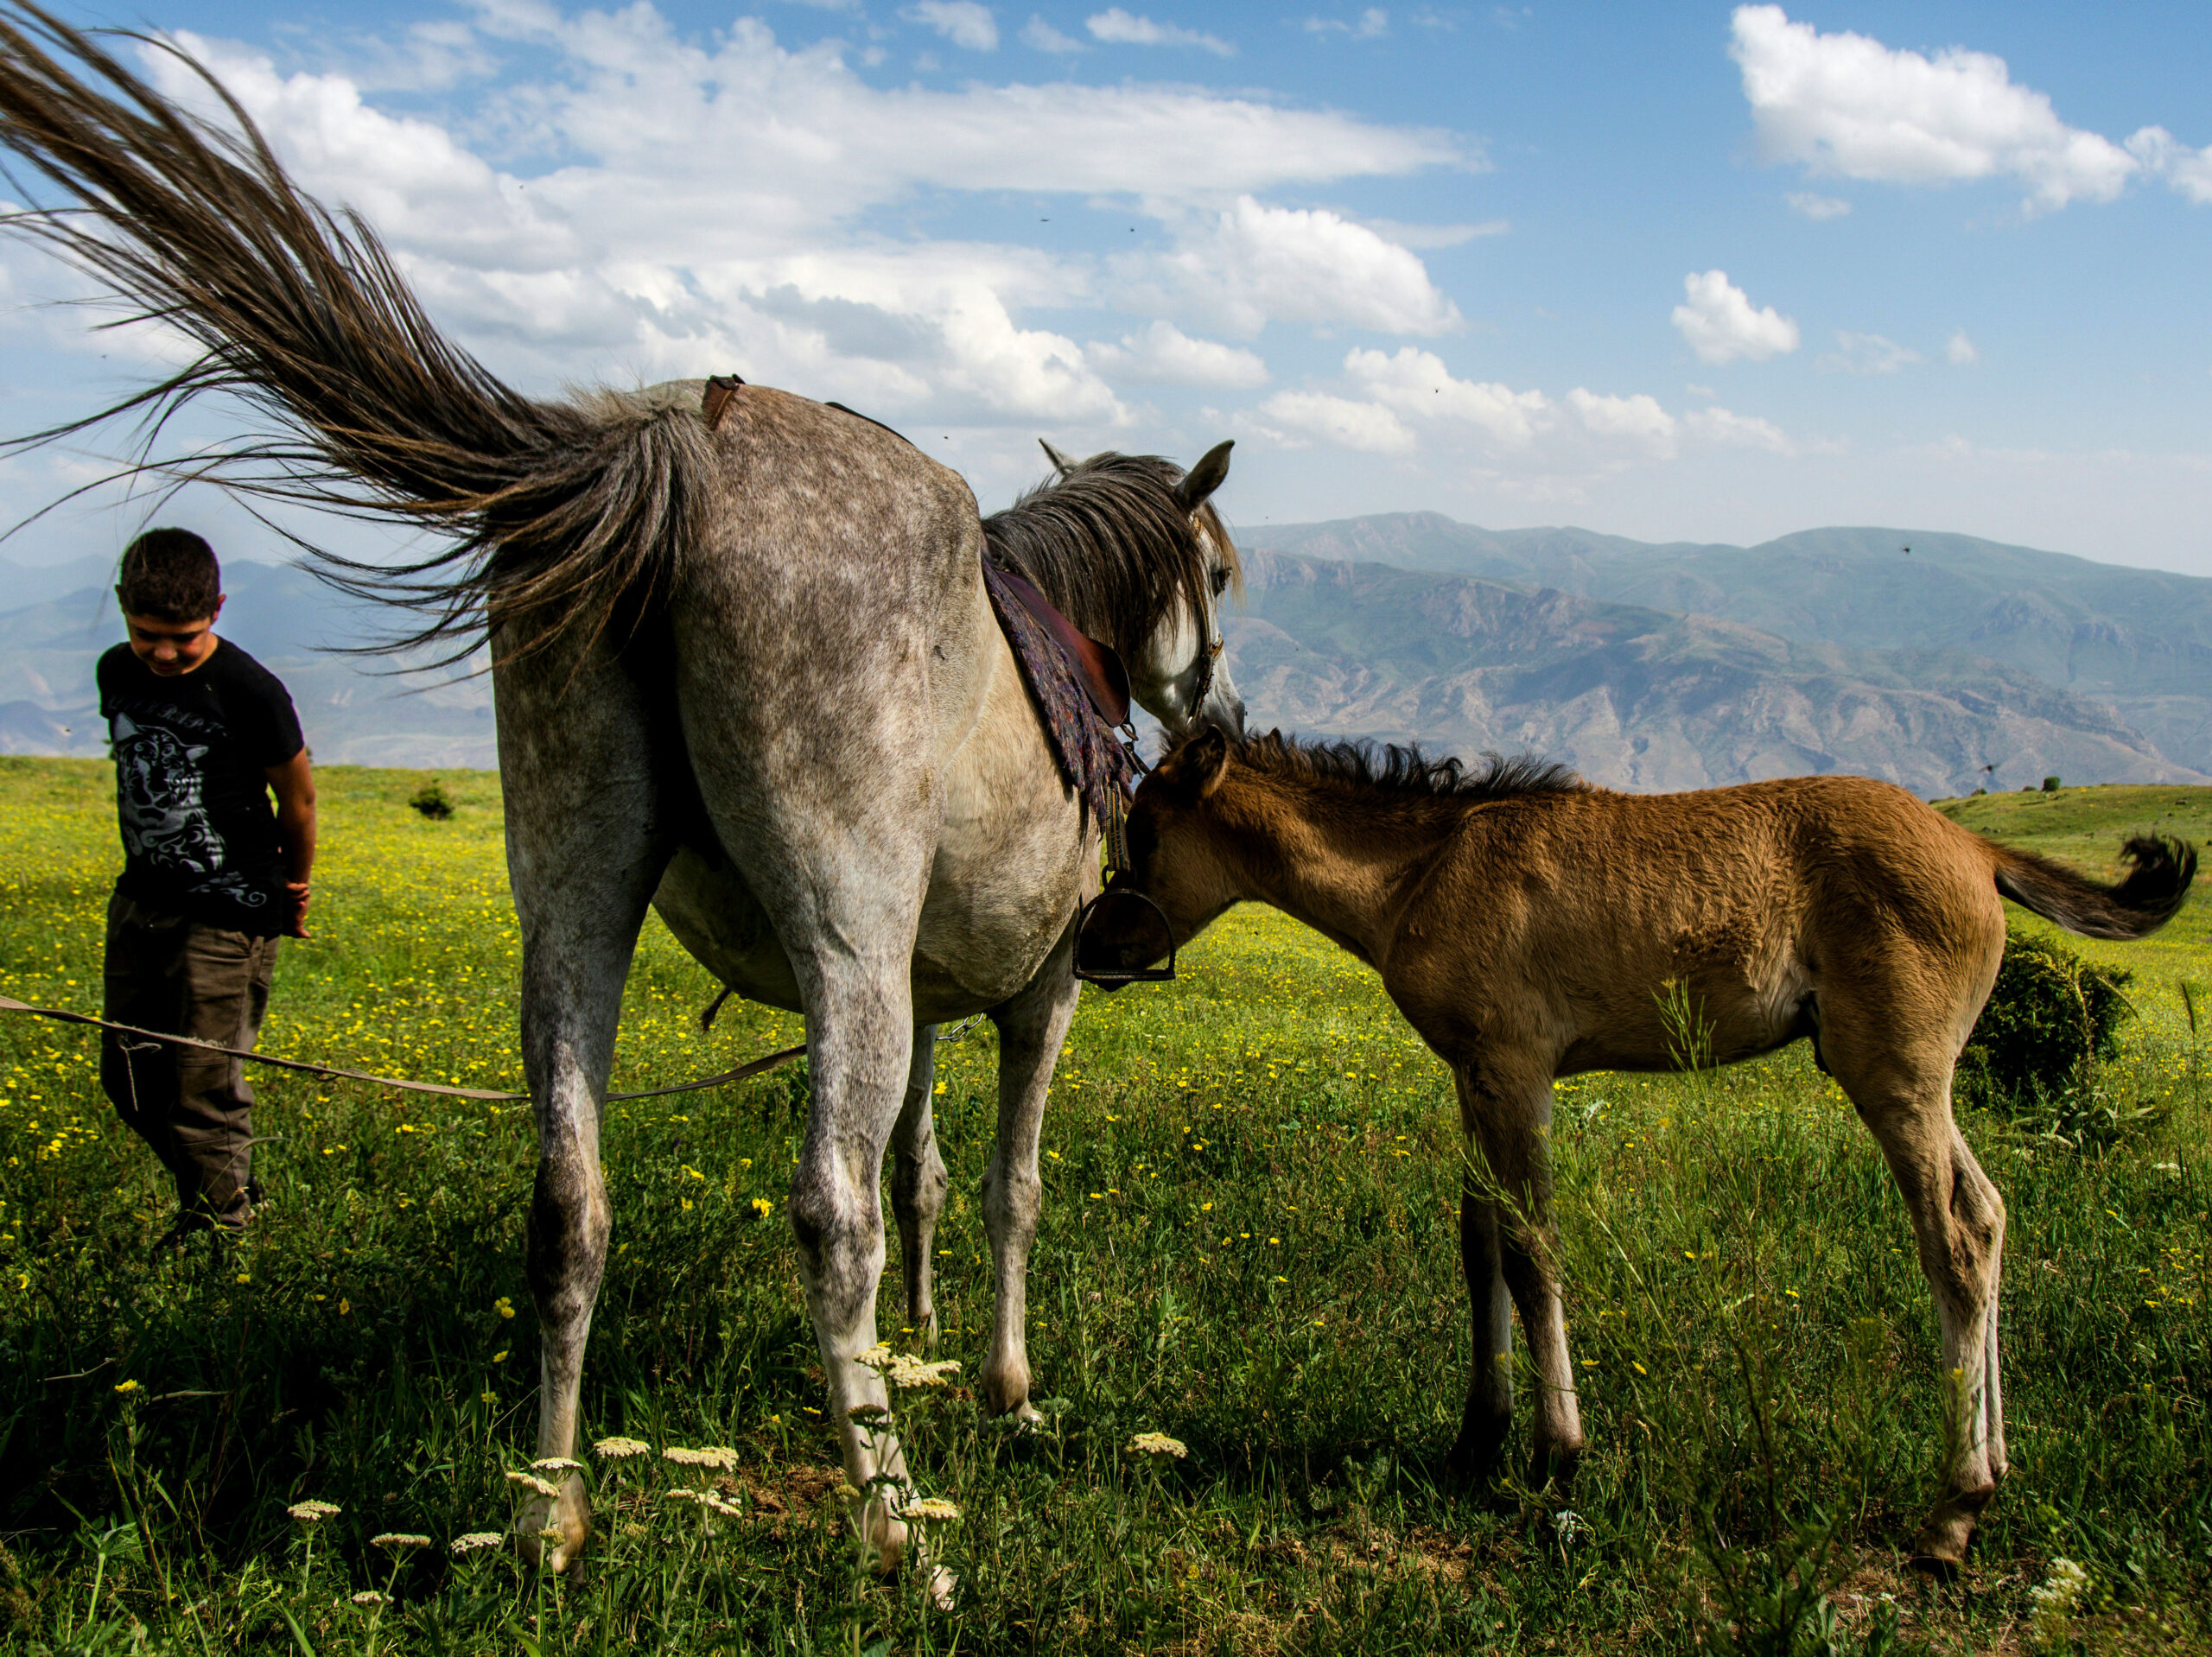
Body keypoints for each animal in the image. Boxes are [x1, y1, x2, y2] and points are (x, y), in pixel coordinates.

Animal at [0, 6, 1247, 1575]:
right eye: (1221, 576)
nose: (1219, 720)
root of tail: (668, 445)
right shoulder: (1037, 989)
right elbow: (1002, 1186)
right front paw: (1005, 1387)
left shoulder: (935, 987)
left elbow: (928, 1167)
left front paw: (924, 1341)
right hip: (844, 948)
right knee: (829, 1212)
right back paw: (898, 1532)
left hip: (577, 901)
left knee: (567, 1202)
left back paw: (553, 1514)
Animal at [1079, 725, 2185, 1566]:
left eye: (1143, 830)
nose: (1093, 946)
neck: (1425, 869)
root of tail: (1973, 846)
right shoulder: (1470, 1076)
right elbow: (1478, 1244)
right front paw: (1474, 1439)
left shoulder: (1519, 1069)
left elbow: (1531, 1249)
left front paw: (1554, 1454)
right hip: (1926, 1083)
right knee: (1990, 1215)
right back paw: (1994, 1471)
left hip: (1896, 1074)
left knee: (1952, 1241)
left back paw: (1951, 1511)